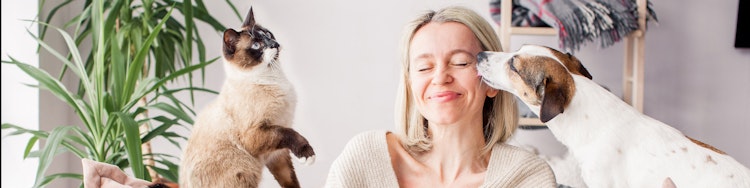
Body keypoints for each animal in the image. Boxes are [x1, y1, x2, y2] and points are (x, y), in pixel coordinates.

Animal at [182, 7, 318, 188]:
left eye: (267, 34)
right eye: (256, 45)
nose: (274, 44)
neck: (274, 78)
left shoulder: (277, 155)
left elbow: (291, 181)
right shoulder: (258, 134)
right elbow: (289, 133)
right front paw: (307, 154)